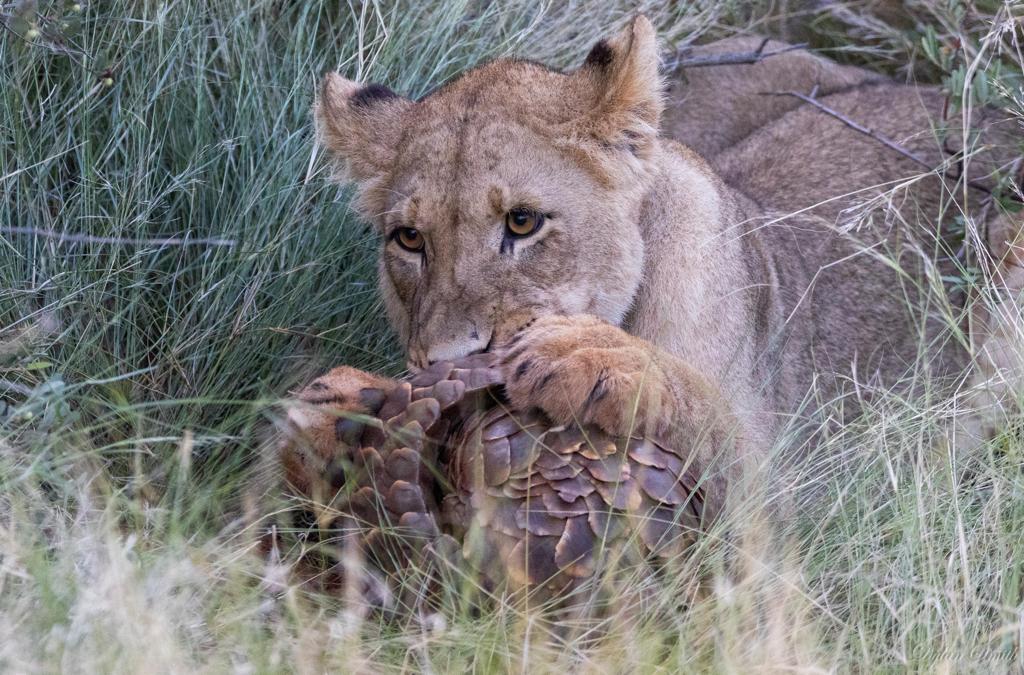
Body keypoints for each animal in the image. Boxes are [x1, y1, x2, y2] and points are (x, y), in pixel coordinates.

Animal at [313, 15, 1024, 503]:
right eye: (409, 239)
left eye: (522, 222)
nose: (447, 363)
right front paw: (341, 408)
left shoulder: (787, 488)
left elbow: (698, 400)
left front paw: (588, 354)